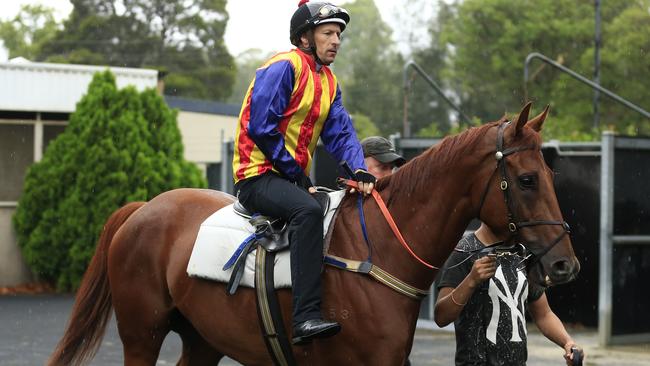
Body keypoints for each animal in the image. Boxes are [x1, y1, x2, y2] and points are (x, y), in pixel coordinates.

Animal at [50, 103, 576, 366]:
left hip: (203, 339)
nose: (564, 263)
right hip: (142, 334)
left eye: (552, 175)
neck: (376, 251)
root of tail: (144, 208)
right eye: (527, 180)